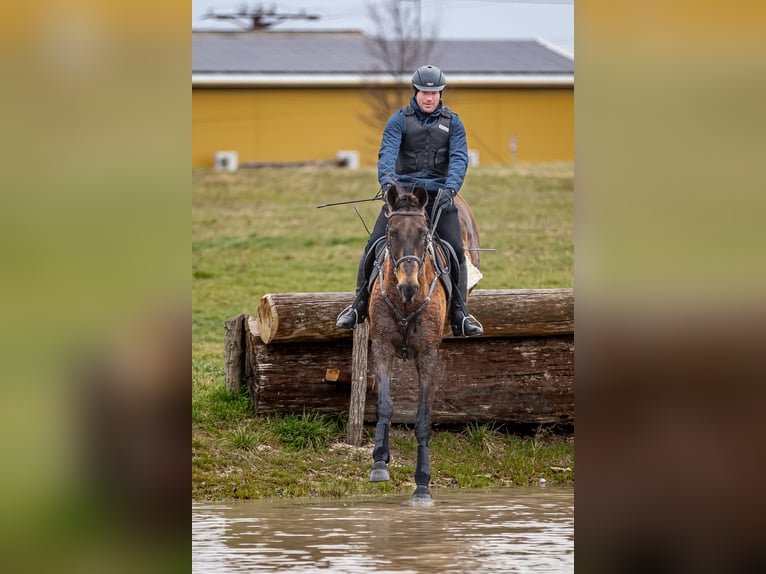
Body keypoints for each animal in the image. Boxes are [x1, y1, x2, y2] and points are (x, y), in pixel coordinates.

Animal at [366, 186, 480, 504]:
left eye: (423, 232)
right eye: (392, 233)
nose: (408, 286)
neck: (406, 302)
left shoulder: (428, 354)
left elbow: (423, 419)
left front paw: (422, 485)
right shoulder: (382, 345)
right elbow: (385, 404)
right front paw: (379, 463)